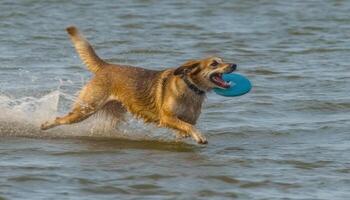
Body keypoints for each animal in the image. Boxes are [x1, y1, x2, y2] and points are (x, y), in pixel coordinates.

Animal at [41, 26, 238, 144]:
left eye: (223, 60)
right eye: (214, 64)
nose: (235, 65)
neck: (191, 89)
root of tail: (106, 66)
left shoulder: (185, 120)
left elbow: (186, 129)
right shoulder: (167, 117)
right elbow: (189, 127)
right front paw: (200, 136)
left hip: (113, 114)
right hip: (86, 108)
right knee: (61, 119)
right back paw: (44, 126)